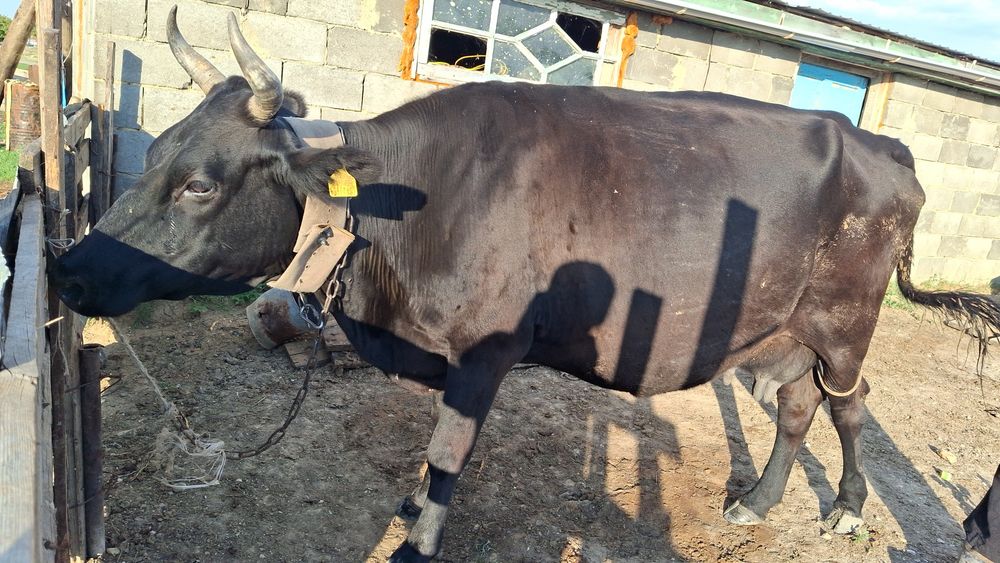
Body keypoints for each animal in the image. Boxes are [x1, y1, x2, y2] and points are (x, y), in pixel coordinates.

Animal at [54, 8, 1000, 562]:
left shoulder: (486, 351)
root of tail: (880, 143)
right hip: (774, 330)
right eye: (157, 149)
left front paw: (416, 540)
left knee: (850, 405)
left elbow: (448, 453)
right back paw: (760, 501)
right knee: (798, 408)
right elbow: (430, 455)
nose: (66, 266)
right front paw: (410, 506)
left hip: (844, 320)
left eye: (200, 184)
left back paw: (846, 508)